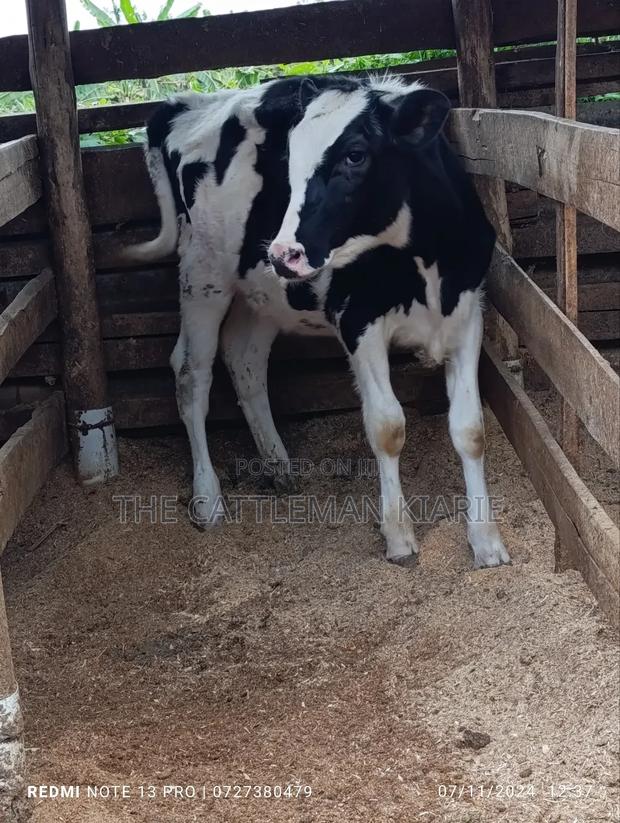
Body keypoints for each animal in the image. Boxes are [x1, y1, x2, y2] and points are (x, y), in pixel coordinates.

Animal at [125, 74, 510, 570]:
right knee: (192, 373)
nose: (284, 252)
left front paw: (486, 540)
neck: (427, 264)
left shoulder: (466, 315)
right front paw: (398, 536)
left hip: (262, 294)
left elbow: (470, 430)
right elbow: (387, 427)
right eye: (290, 160)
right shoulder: (358, 322)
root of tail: (183, 104)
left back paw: (278, 465)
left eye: (355, 154)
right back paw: (208, 498)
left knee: (245, 361)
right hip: (203, 275)